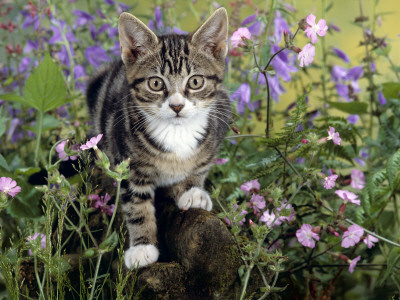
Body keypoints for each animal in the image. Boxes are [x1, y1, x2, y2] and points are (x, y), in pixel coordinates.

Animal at [87, 8, 231, 268]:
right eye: (156, 83)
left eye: (195, 81)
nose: (176, 106)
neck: (176, 132)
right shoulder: (126, 160)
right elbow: (136, 204)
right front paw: (142, 247)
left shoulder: (221, 115)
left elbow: (202, 163)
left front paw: (192, 191)